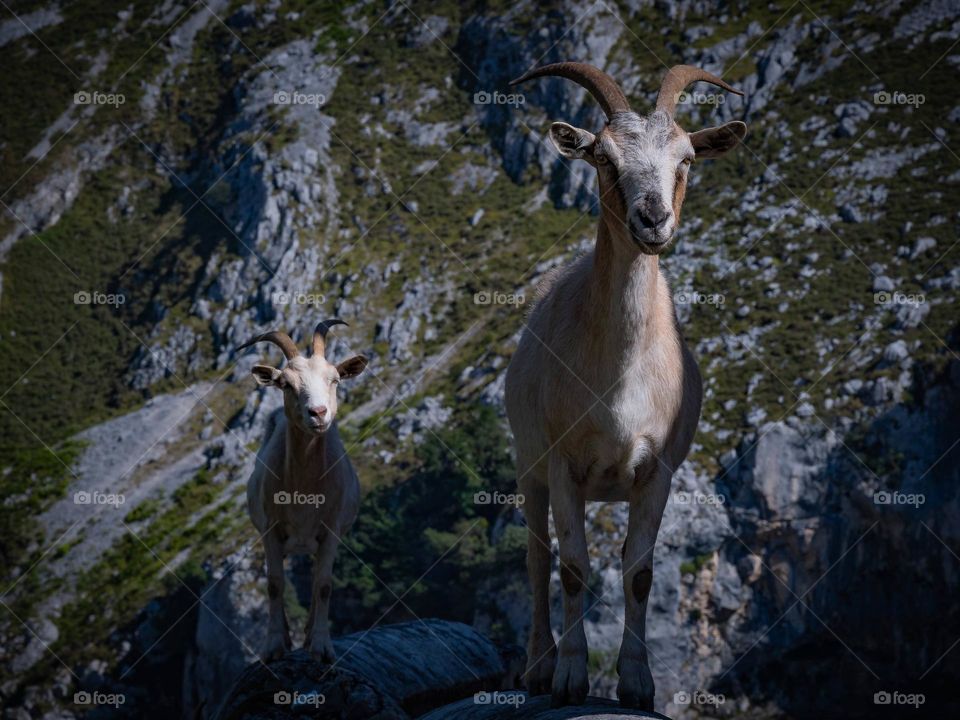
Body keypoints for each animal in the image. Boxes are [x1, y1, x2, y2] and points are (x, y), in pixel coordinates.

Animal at [237, 319, 368, 662]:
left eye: (334, 379)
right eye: (285, 384)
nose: (318, 413)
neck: (304, 493)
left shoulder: (331, 531)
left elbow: (323, 585)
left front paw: (321, 646)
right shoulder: (270, 530)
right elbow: (274, 584)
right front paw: (273, 646)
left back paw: (309, 636)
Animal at [504, 63, 747, 709]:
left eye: (686, 158)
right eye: (605, 158)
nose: (653, 219)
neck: (618, 383)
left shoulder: (656, 469)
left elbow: (638, 573)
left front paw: (637, 683)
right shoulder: (563, 463)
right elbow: (571, 568)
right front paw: (570, 677)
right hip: (528, 467)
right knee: (536, 560)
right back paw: (537, 666)